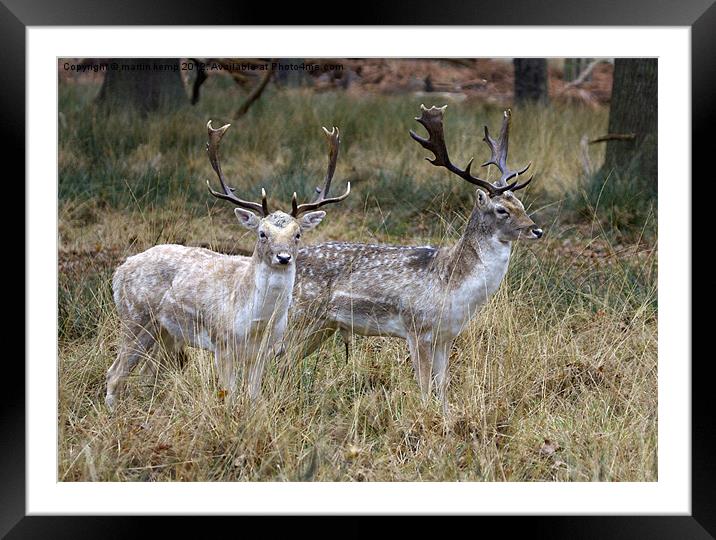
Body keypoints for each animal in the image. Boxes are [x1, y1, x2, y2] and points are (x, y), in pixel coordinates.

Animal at [105, 121, 350, 410]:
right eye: (262, 233)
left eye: (298, 234)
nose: (283, 257)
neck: (257, 321)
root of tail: (119, 272)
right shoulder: (222, 342)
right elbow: (229, 394)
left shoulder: (266, 350)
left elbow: (254, 395)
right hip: (134, 317)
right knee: (115, 372)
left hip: (165, 330)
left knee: (146, 372)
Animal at [290, 105, 544, 414]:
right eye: (501, 210)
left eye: (521, 205)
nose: (537, 230)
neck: (452, 285)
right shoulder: (417, 329)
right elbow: (424, 387)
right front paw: (425, 417)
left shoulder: (446, 336)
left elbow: (443, 385)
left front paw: (446, 416)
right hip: (298, 317)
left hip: (322, 327)